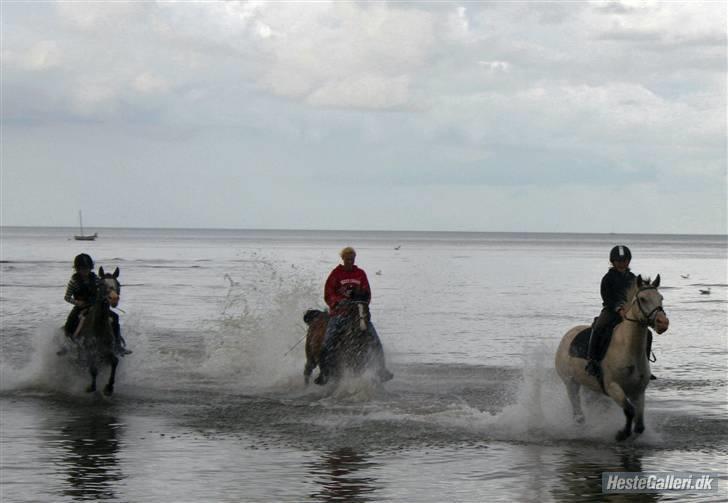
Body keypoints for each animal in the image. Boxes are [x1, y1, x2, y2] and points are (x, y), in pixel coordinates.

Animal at [556, 276, 672, 440]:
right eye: (642, 299)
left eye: (661, 297)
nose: (663, 323)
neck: (628, 349)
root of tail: (568, 335)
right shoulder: (613, 387)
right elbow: (629, 410)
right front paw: (622, 434)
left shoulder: (638, 391)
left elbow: (639, 424)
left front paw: (632, 434)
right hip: (570, 383)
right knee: (578, 412)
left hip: (590, 386)